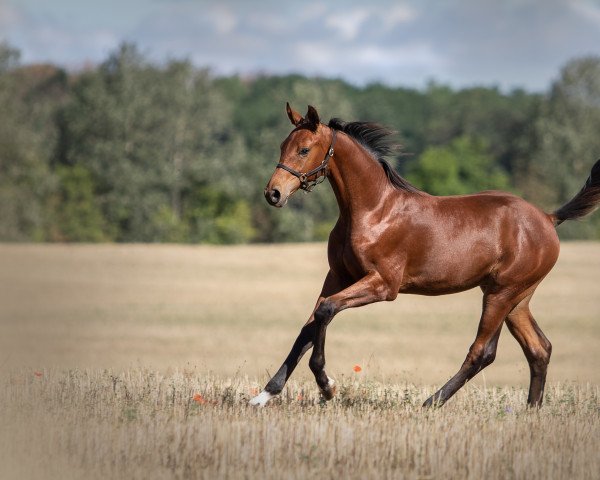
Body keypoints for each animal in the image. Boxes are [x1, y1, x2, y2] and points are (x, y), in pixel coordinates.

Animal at [248, 103, 600, 406]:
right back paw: (531, 410)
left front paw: (327, 386)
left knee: (484, 351)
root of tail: (548, 218)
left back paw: (431, 402)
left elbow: (325, 312)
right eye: (282, 145)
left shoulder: (383, 285)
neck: (373, 211)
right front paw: (266, 394)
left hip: (502, 294)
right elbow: (308, 328)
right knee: (539, 348)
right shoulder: (337, 277)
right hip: (517, 298)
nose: (273, 193)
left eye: (304, 149)